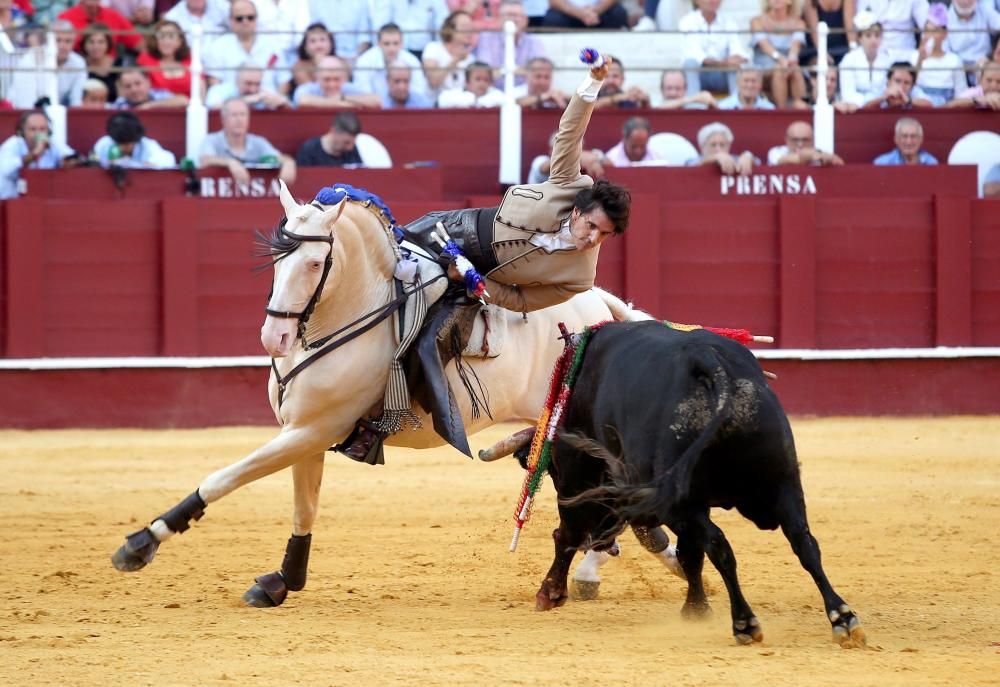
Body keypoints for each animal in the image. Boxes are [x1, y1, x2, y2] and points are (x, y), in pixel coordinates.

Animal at [113, 183, 684, 608]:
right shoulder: (305, 430)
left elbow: (226, 476)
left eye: (314, 266)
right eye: (276, 261)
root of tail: (601, 307)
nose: (274, 338)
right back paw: (620, 560)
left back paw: (614, 563)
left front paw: (142, 542)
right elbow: (304, 507)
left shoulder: (312, 428)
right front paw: (282, 581)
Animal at [536, 320, 864, 648]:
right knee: (803, 541)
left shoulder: (582, 478)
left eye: (552, 469)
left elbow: (568, 533)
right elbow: (691, 553)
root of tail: (706, 359)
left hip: (669, 500)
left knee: (720, 546)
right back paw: (843, 618)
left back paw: (744, 622)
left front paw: (550, 592)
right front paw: (696, 609)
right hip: (783, 479)